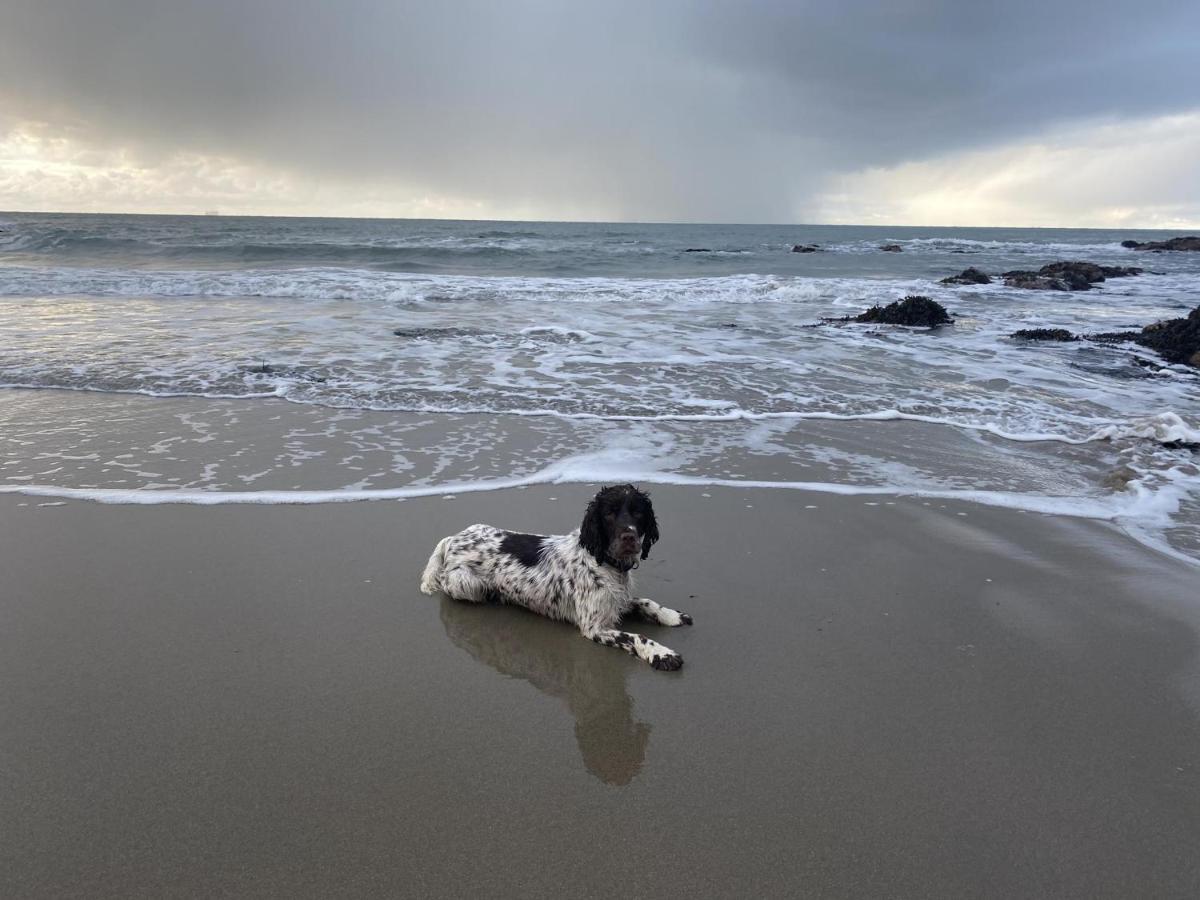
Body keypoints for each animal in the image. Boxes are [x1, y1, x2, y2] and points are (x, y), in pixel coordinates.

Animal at [420, 487, 686, 672]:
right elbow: (636, 636)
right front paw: (661, 653)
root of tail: (452, 538)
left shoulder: (616, 600)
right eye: (609, 513)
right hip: (465, 583)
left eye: (638, 512)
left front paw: (671, 616)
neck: (603, 561)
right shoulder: (594, 627)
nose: (629, 537)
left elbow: (646, 602)